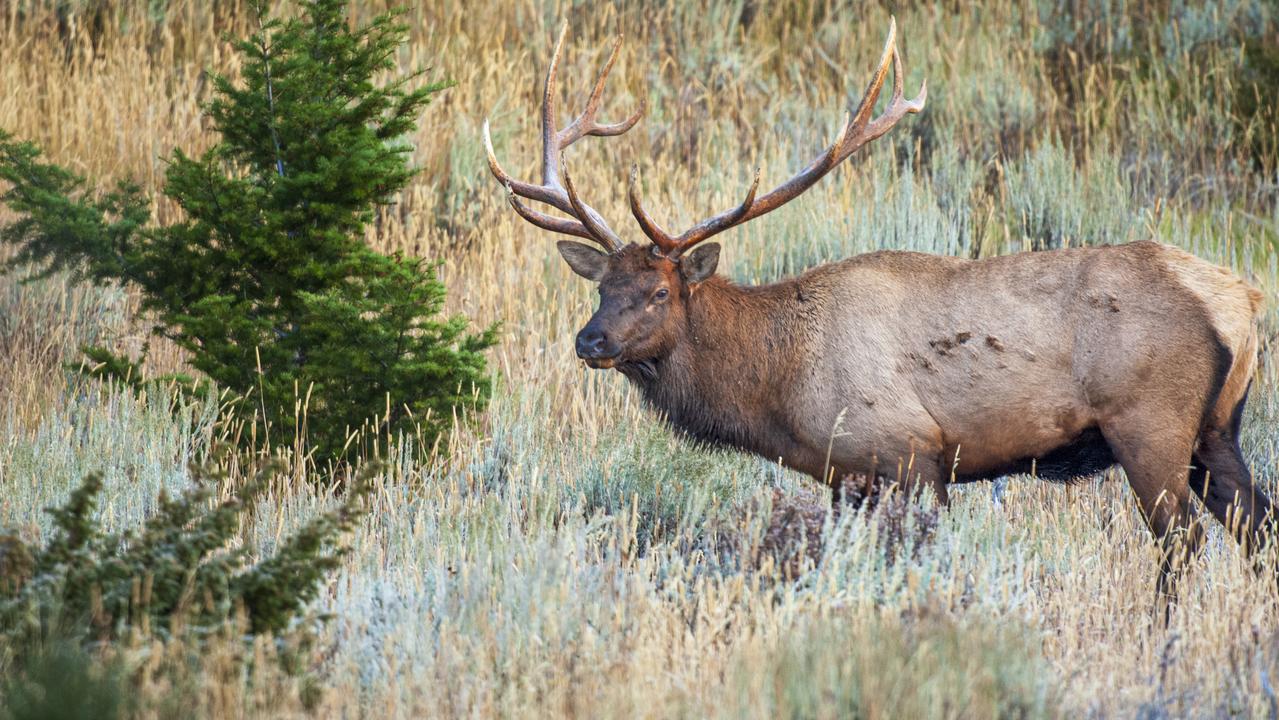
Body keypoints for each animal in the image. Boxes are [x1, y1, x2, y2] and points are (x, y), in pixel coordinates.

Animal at [483, 23, 1273, 598]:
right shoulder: (845, 477)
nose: (589, 342)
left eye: (657, 293)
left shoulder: (910, 453)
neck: (782, 388)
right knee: (1255, 529)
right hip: (1215, 430)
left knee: (1182, 542)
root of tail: (1241, 301)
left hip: (1148, 421)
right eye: (599, 289)